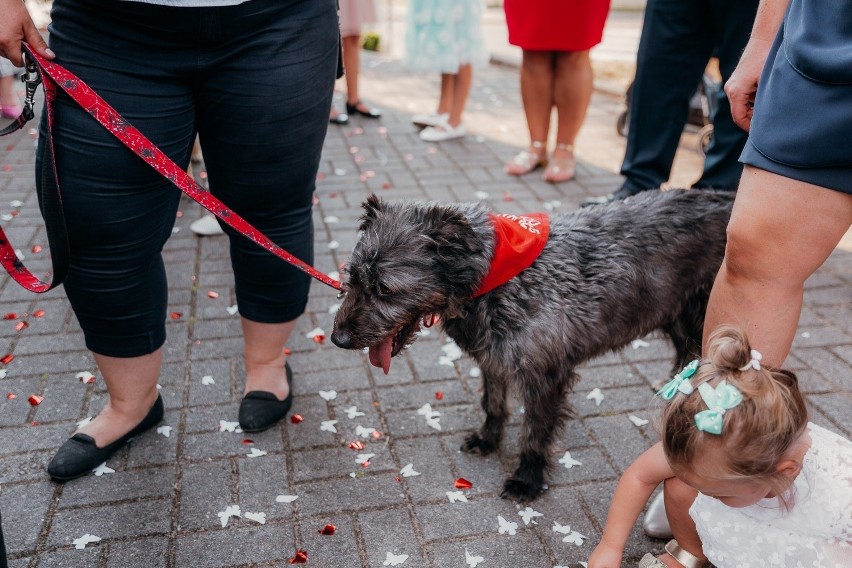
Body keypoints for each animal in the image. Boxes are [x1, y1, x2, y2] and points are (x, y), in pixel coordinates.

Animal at [332, 189, 732, 500]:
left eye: (385, 288)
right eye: (352, 277)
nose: (338, 338)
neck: (494, 277)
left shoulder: (545, 374)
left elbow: (535, 432)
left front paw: (528, 478)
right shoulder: (493, 358)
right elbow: (494, 403)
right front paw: (488, 439)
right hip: (677, 312)